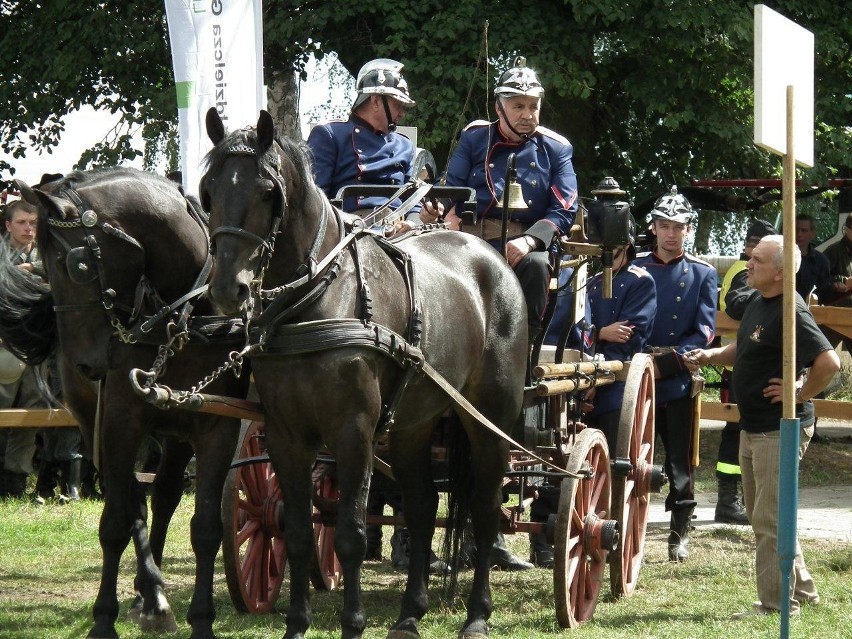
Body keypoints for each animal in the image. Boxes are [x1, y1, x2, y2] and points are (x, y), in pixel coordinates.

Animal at [1, 170, 250, 639]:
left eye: (75, 265)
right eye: (45, 266)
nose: (86, 363)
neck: (186, 315)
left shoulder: (217, 422)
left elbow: (207, 527)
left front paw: (202, 621)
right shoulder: (118, 420)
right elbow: (115, 522)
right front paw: (104, 619)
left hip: (174, 429)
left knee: (164, 494)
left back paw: (150, 594)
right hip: (92, 419)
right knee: (132, 497)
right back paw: (150, 594)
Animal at [202, 110, 528, 639]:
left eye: (268, 192)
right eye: (208, 190)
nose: (229, 289)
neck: (315, 300)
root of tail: (490, 256)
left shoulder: (353, 432)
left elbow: (352, 534)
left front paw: (352, 623)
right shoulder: (286, 436)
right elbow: (297, 533)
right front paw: (296, 625)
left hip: (488, 421)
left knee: (483, 510)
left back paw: (478, 615)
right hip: (414, 425)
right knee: (422, 507)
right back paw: (410, 612)